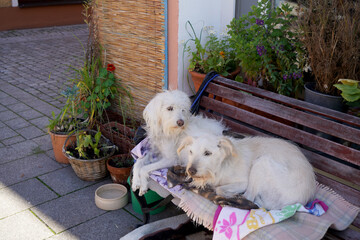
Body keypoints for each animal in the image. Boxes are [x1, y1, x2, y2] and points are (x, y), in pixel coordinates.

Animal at [179, 135, 316, 210]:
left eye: (207, 153)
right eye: (190, 152)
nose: (191, 170)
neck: (220, 166)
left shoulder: (242, 183)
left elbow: (219, 189)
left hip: (261, 162)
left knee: (249, 196)